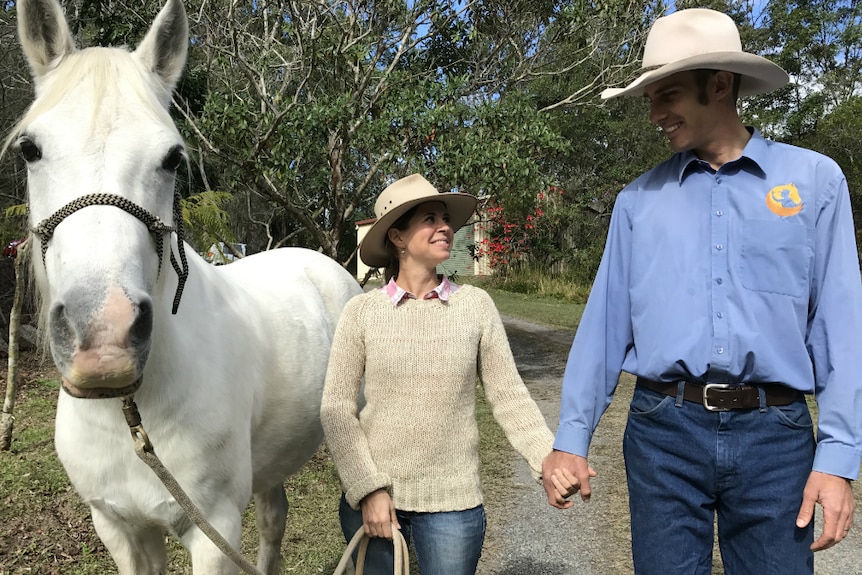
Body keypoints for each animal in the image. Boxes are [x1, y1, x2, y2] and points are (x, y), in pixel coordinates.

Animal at [11, 1, 362, 575]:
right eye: (29, 149)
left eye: (173, 158)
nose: (104, 340)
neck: (129, 416)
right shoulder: (119, 528)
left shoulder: (213, 532)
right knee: (274, 520)